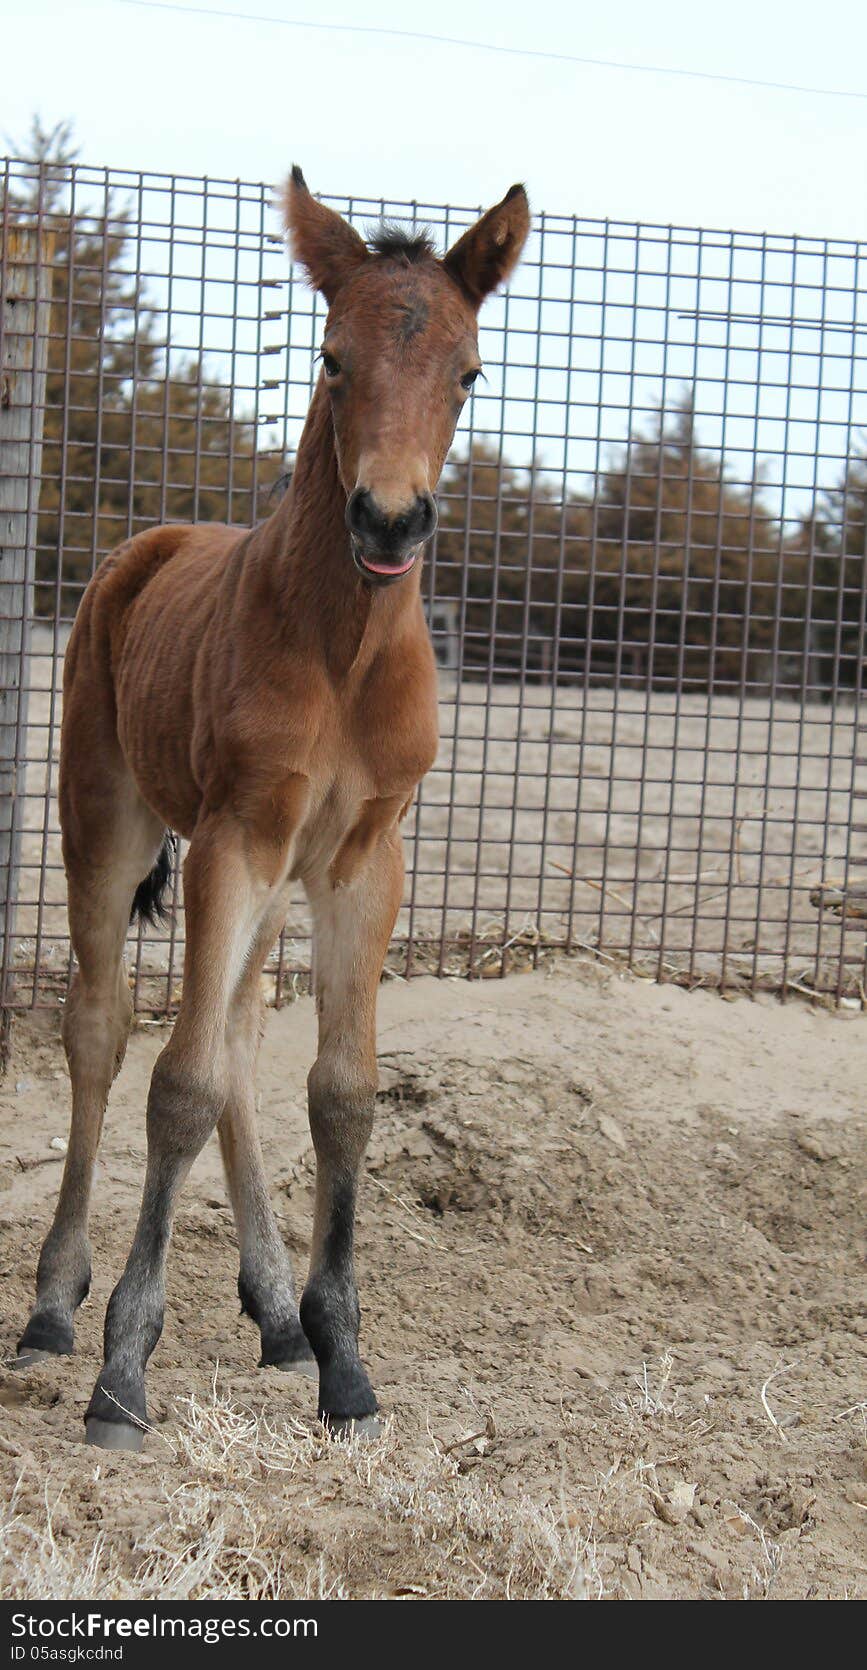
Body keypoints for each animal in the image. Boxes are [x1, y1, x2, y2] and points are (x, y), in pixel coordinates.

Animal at [16, 166, 531, 1449]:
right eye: (333, 357)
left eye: (471, 370)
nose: (389, 519)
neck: (343, 651)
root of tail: (149, 544)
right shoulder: (234, 835)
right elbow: (178, 1083)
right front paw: (121, 1375)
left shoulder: (361, 857)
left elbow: (339, 1091)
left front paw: (343, 1358)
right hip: (111, 823)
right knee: (101, 1029)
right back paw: (53, 1305)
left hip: (264, 874)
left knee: (241, 1034)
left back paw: (276, 1313)